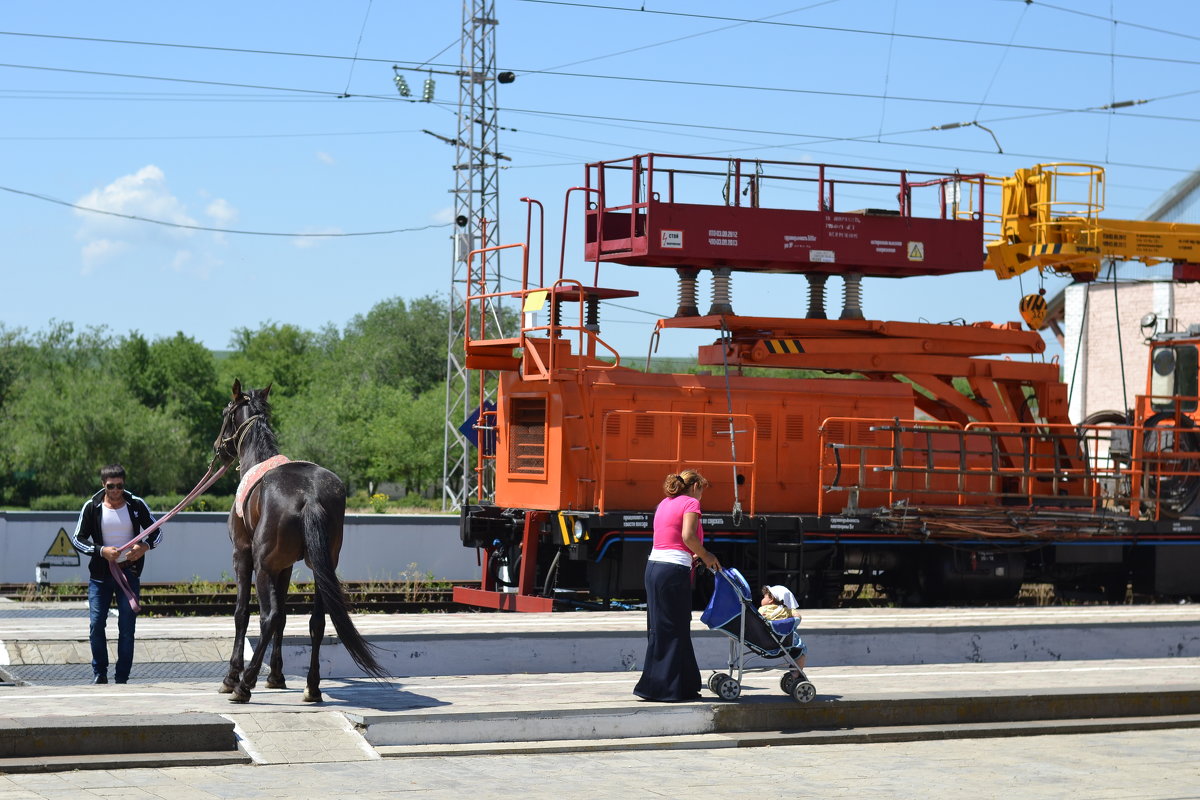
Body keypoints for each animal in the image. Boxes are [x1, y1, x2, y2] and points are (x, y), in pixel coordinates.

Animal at [212, 381, 384, 700]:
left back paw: (244, 685)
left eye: (224, 412)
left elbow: (243, 613)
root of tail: (310, 496)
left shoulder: (242, 555)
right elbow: (284, 618)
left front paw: (232, 675)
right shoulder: (286, 566)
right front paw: (277, 676)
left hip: (264, 566)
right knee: (316, 621)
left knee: (267, 617)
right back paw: (312, 686)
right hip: (321, 567)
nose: (218, 448)